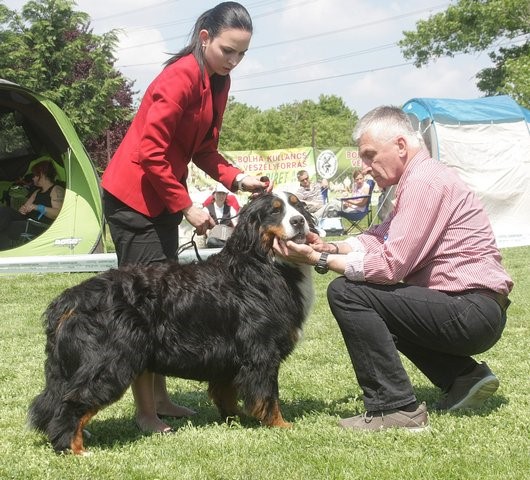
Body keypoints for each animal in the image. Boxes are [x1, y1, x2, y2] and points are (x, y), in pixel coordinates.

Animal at [27, 191, 314, 454]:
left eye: (298, 206)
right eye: (275, 211)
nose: (299, 221)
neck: (260, 264)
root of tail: (72, 298)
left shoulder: (229, 356)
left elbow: (227, 395)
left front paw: (236, 419)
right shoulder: (261, 352)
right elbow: (267, 397)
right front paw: (280, 425)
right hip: (108, 363)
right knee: (73, 402)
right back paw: (75, 448)